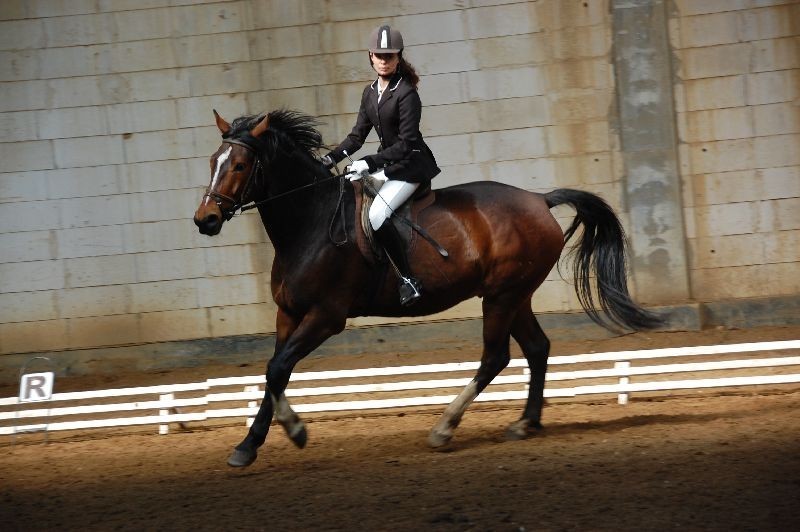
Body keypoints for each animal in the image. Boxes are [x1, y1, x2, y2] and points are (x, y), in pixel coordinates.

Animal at [194, 110, 664, 468]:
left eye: (240, 166)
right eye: (213, 160)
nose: (206, 221)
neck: (308, 223)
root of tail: (538, 199)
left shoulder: (326, 316)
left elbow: (277, 370)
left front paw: (296, 431)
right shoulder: (288, 313)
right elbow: (274, 371)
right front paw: (247, 447)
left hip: (502, 296)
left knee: (495, 357)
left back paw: (444, 428)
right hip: (514, 295)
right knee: (537, 348)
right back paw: (525, 423)